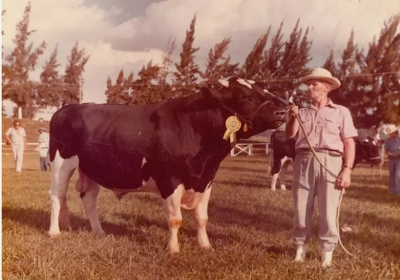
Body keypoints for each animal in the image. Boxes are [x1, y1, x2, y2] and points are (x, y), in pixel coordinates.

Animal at [47, 76, 288, 252]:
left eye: (263, 90)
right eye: (244, 97)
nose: (283, 111)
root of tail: (67, 108)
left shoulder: (206, 181)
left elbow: (202, 218)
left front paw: (206, 246)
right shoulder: (170, 180)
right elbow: (175, 219)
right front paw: (173, 249)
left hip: (92, 169)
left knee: (89, 199)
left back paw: (99, 231)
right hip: (60, 164)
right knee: (57, 196)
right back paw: (54, 232)